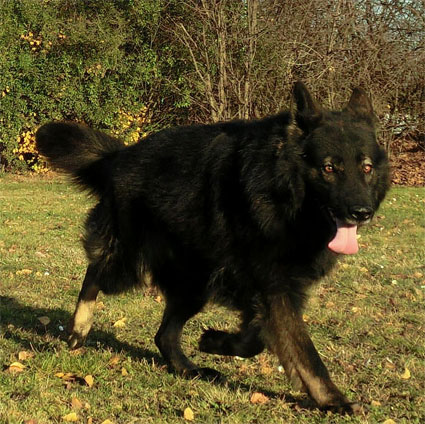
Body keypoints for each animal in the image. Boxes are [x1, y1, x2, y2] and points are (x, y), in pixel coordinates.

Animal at [36, 82, 389, 414]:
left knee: (164, 334)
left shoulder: (274, 288)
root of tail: (122, 155)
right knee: (96, 272)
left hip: (195, 283)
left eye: (366, 168)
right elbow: (304, 351)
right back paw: (80, 327)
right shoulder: (273, 286)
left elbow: (258, 337)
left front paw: (217, 341)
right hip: (131, 265)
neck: (283, 196)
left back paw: (188, 368)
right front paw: (333, 400)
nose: (361, 212)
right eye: (329, 168)